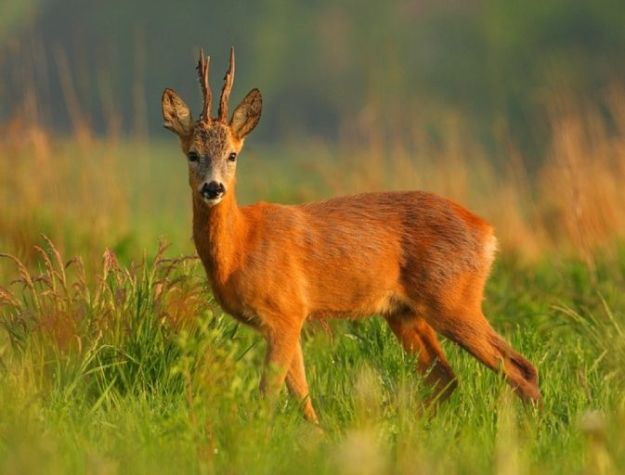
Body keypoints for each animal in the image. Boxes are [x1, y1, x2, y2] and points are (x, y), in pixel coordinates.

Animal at [161, 48, 540, 424]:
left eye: (233, 154)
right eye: (192, 154)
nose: (213, 188)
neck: (241, 245)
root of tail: (487, 233)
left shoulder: (285, 311)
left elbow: (270, 393)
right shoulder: (289, 319)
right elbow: (301, 393)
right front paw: (317, 434)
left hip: (452, 298)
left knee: (520, 368)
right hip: (403, 311)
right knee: (444, 376)